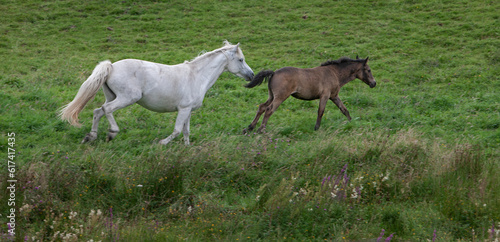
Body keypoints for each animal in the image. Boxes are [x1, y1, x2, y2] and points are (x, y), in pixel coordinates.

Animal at [60, 40, 254, 145]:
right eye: (240, 59)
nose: (251, 75)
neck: (196, 76)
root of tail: (112, 66)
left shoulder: (188, 111)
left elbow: (186, 131)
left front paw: (187, 149)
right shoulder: (183, 109)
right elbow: (177, 130)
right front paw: (162, 143)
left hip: (112, 96)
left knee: (98, 111)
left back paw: (90, 137)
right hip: (127, 98)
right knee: (106, 110)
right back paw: (112, 133)